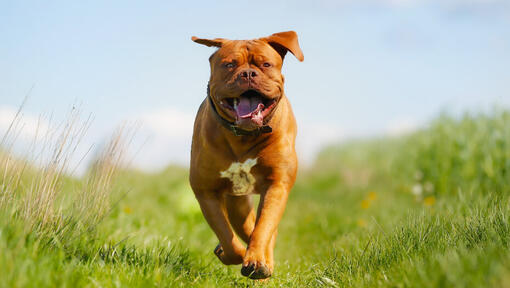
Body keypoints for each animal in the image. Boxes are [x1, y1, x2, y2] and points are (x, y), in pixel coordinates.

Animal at [190, 29, 302, 280]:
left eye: (266, 64)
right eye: (229, 64)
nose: (248, 73)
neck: (244, 136)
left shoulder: (277, 184)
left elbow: (263, 227)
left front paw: (258, 260)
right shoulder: (205, 190)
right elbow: (226, 235)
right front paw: (235, 254)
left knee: (263, 230)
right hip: (237, 203)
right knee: (244, 227)